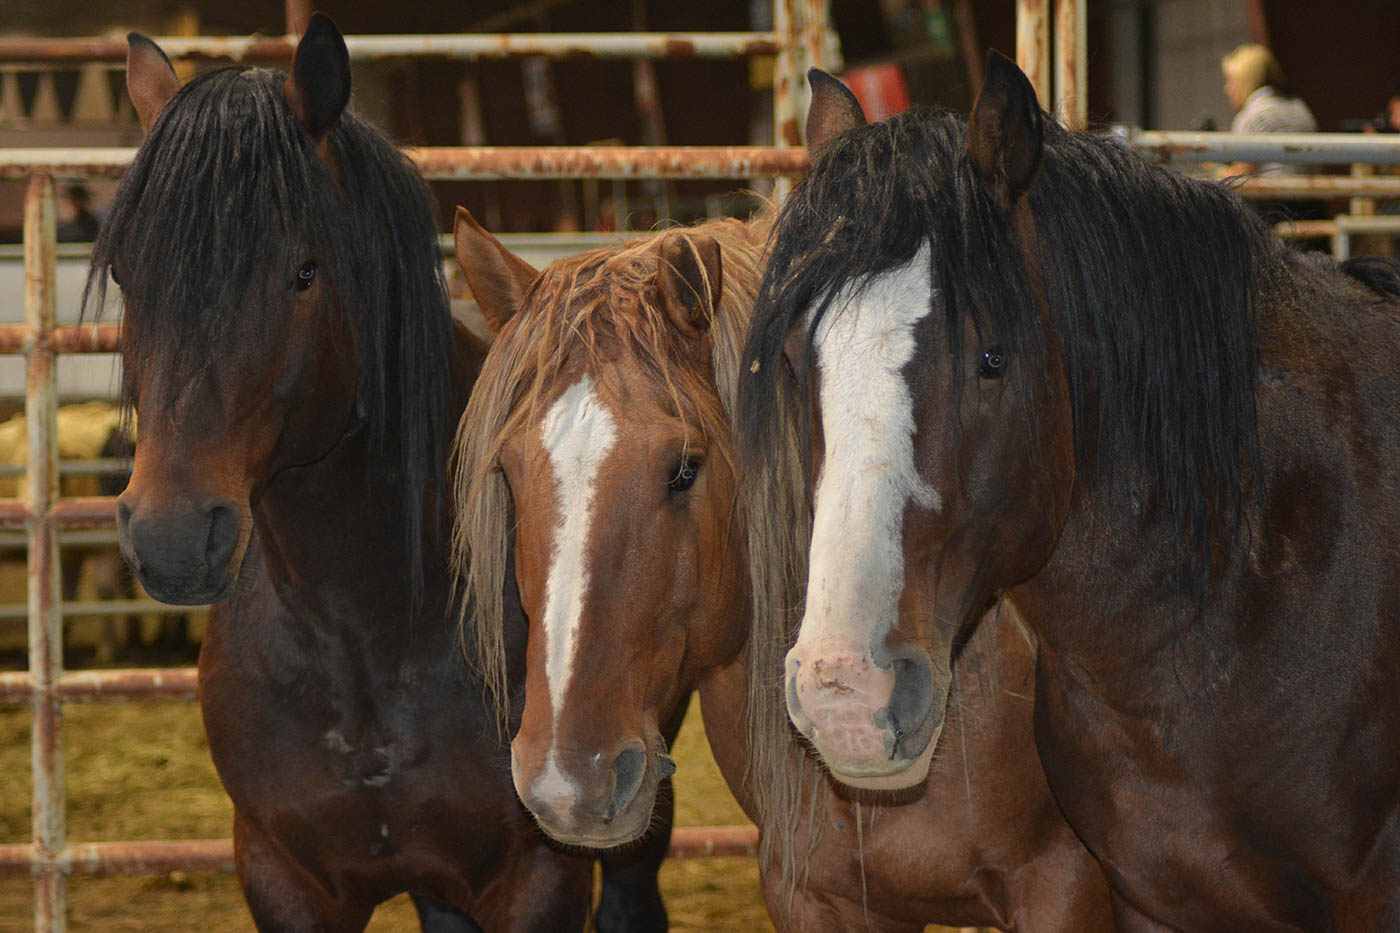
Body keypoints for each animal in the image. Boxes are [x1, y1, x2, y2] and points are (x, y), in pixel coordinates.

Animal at [91, 16, 666, 930]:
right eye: (125, 272)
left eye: (303, 270)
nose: (172, 537)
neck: (367, 627)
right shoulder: (285, 878)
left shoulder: (538, 875)